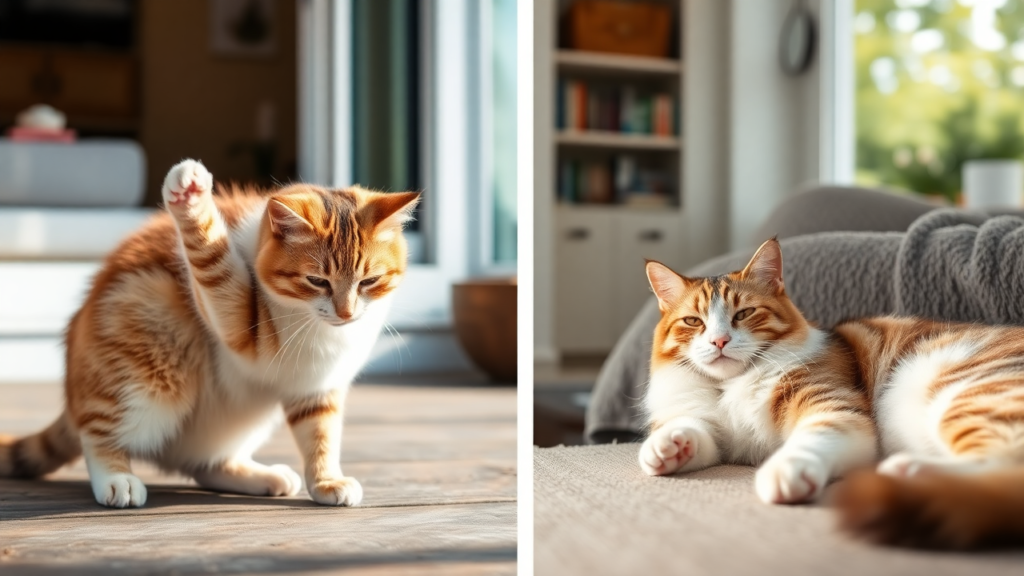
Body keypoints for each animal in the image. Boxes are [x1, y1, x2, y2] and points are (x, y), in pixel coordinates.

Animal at [0, 157, 419, 506]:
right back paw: (116, 478)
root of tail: (73, 396)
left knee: (205, 464)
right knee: (98, 431)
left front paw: (326, 481)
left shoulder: (318, 387)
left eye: (369, 281)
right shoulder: (235, 318)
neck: (314, 324)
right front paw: (190, 198)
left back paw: (258, 476)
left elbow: (321, 435)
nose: (346, 313)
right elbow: (212, 259)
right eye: (317, 281)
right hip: (145, 359)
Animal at [638, 237, 1024, 545]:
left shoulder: (832, 404)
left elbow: (812, 438)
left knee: (1002, 468)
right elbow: (693, 431)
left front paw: (785, 471)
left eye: (744, 314)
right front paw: (665, 447)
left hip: (969, 394)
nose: (719, 341)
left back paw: (906, 472)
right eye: (693, 321)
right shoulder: (713, 432)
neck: (730, 385)